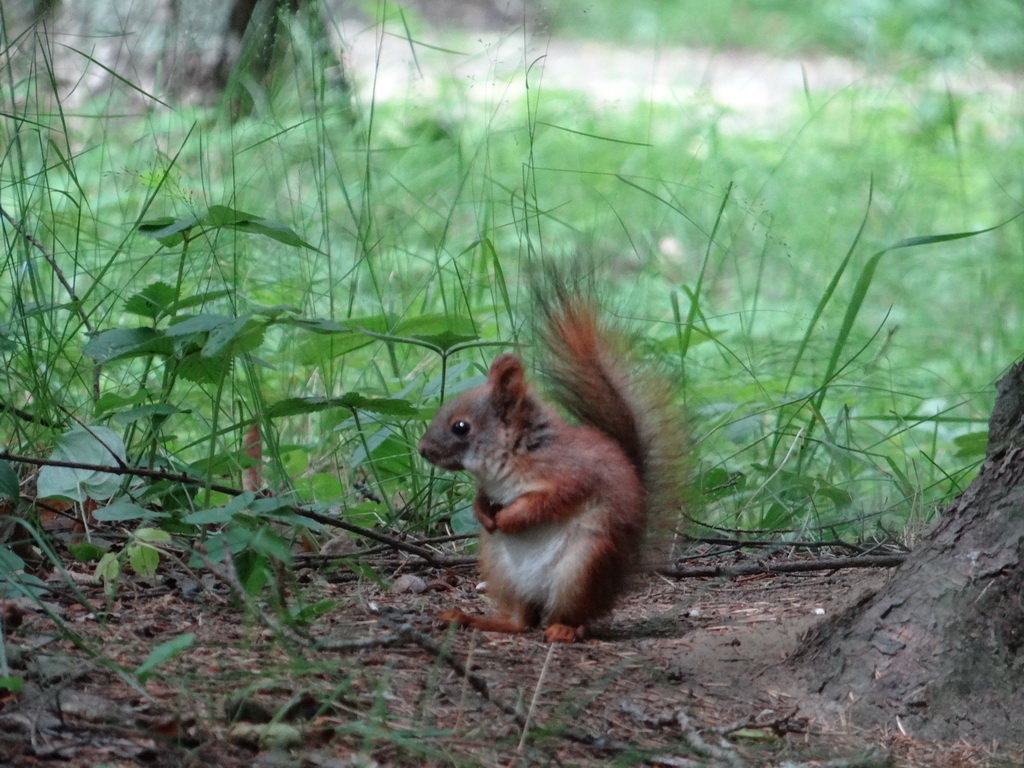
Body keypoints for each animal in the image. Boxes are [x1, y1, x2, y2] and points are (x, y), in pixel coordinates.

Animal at [415, 292, 679, 643]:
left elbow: (549, 501)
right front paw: (484, 515)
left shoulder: (571, 475)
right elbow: (481, 499)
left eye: (461, 427)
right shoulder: (490, 487)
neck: (513, 455)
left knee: (577, 617)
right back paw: (470, 618)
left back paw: (564, 630)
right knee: (521, 621)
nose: (422, 449)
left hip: (583, 567)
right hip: (501, 569)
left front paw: (509, 518)